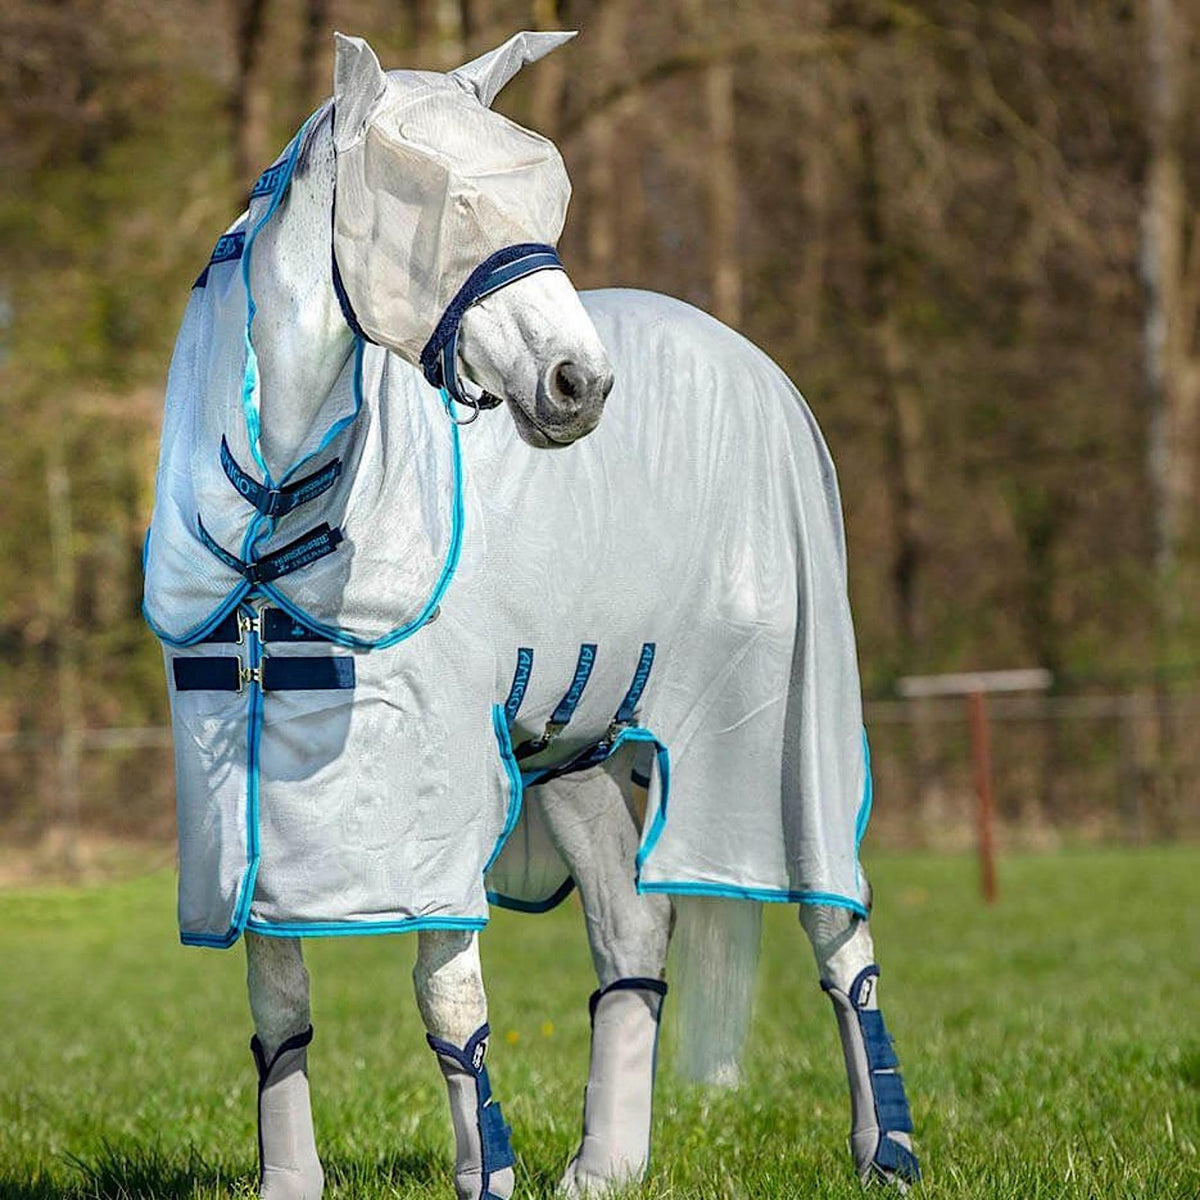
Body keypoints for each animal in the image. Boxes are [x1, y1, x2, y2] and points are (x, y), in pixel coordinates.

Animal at [142, 28, 916, 1200]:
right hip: (572, 749)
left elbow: (447, 999)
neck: (283, 510)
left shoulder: (434, 797)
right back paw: (605, 1166)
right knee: (634, 925)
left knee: (840, 926)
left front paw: (484, 1177)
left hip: (783, 732)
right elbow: (279, 1004)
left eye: (543, 196)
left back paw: (887, 1153)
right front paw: (291, 1182)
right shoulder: (246, 797)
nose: (579, 384)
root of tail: (751, 365)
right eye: (446, 200)